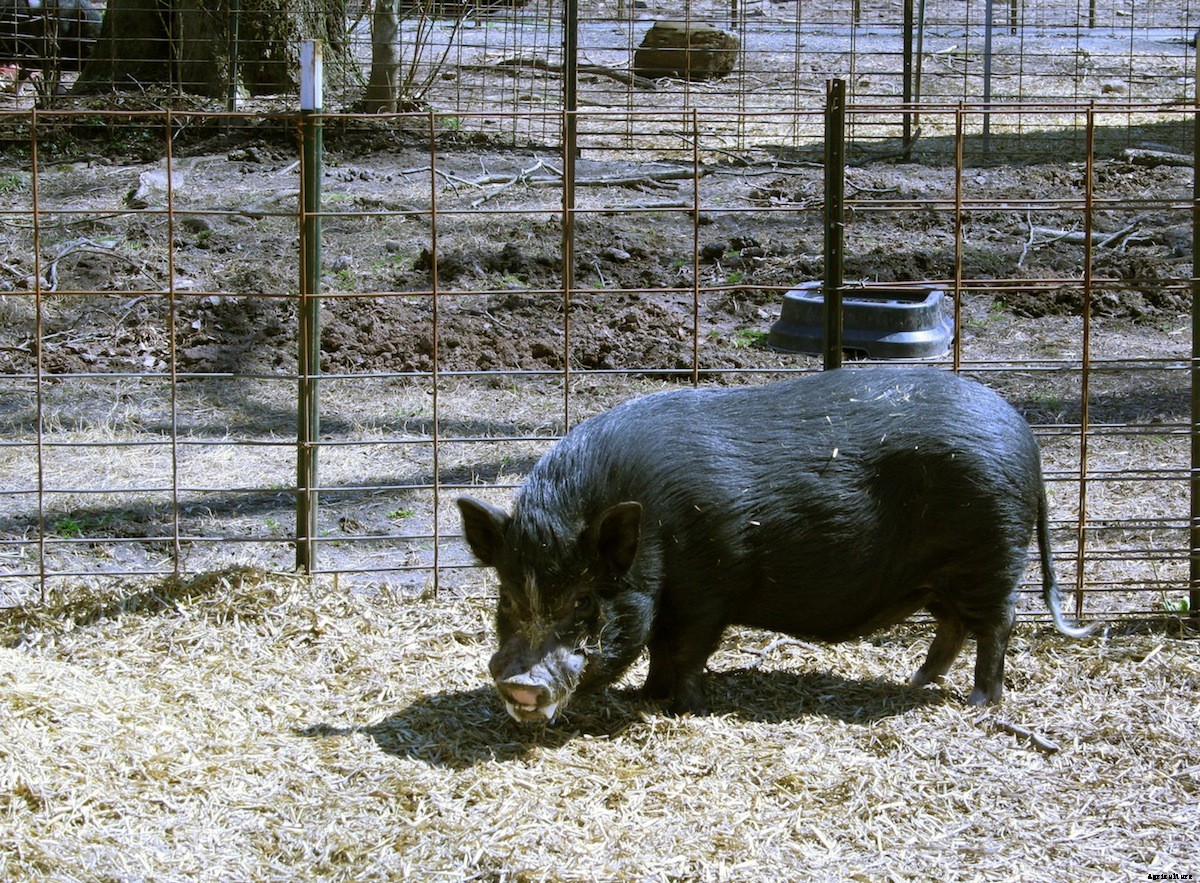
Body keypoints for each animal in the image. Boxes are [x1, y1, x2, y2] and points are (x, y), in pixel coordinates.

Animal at [457, 367, 1092, 725]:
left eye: (583, 601)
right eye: (507, 599)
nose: (520, 684)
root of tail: (1029, 443)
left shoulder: (708, 589)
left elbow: (681, 650)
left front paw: (674, 706)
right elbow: (662, 646)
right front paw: (651, 699)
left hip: (989, 554)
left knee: (997, 624)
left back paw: (980, 703)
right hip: (941, 574)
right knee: (954, 626)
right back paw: (918, 682)